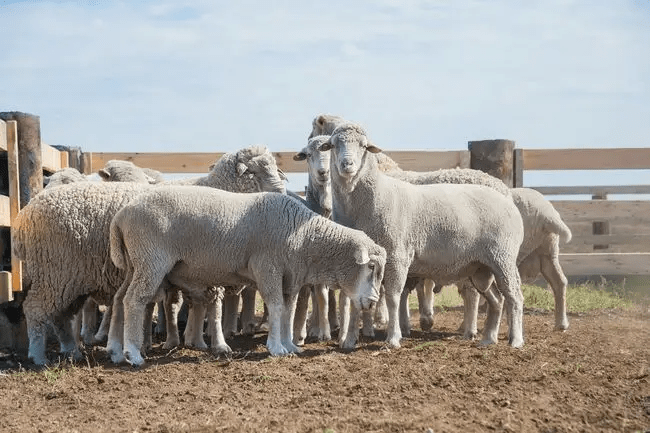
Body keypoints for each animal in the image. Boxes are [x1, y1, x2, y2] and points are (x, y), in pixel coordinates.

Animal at [11, 145, 284, 364]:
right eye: (252, 171)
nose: (280, 192)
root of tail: (24, 216)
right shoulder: (211, 261)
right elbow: (213, 305)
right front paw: (217, 344)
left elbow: (202, 304)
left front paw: (196, 340)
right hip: (55, 270)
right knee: (36, 309)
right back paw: (38, 356)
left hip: (70, 277)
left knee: (61, 315)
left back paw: (72, 350)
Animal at [109, 186, 388, 364]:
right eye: (371, 267)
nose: (372, 302)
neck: (305, 237)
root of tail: (121, 216)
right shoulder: (267, 267)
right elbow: (275, 306)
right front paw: (276, 347)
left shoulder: (290, 276)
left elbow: (287, 310)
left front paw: (290, 345)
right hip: (151, 259)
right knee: (134, 301)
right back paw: (133, 354)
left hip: (135, 264)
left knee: (119, 299)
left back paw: (115, 350)